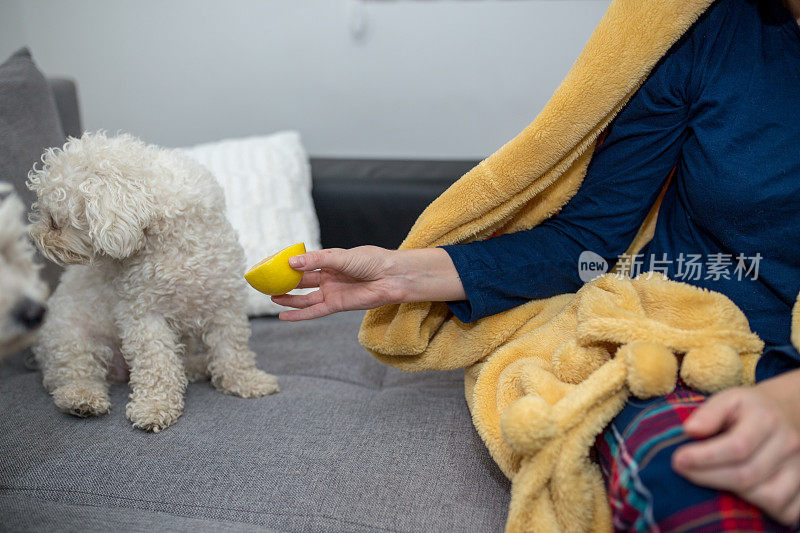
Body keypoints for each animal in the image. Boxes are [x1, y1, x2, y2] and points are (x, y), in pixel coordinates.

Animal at [28, 131, 278, 430]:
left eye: (54, 222)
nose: (35, 237)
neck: (175, 241)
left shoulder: (224, 301)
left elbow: (233, 349)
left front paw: (246, 380)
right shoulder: (144, 314)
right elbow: (156, 363)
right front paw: (155, 406)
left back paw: (196, 367)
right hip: (71, 339)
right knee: (73, 374)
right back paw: (81, 399)